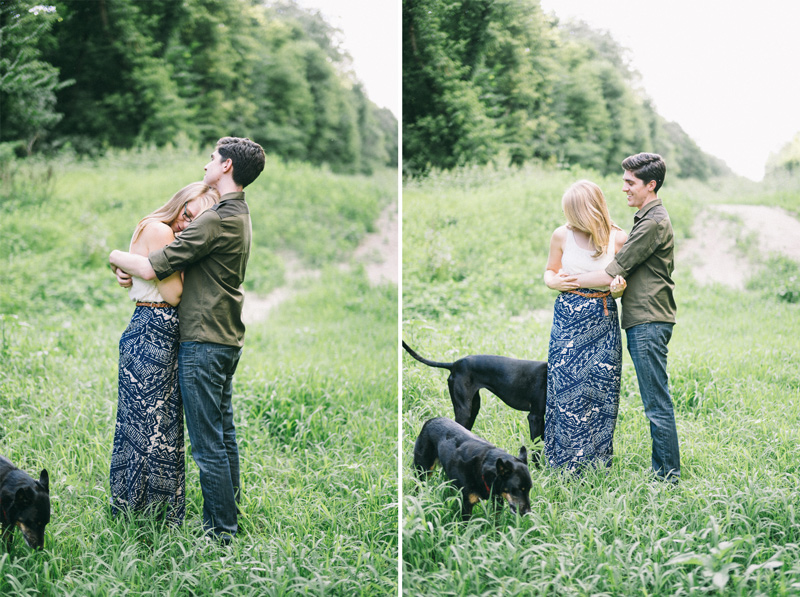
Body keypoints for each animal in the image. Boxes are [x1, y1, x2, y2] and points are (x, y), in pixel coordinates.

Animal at [404, 342, 548, 444]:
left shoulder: (541, 417)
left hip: (473, 407)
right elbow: (536, 446)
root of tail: (455, 364)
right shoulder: (535, 417)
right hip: (464, 410)